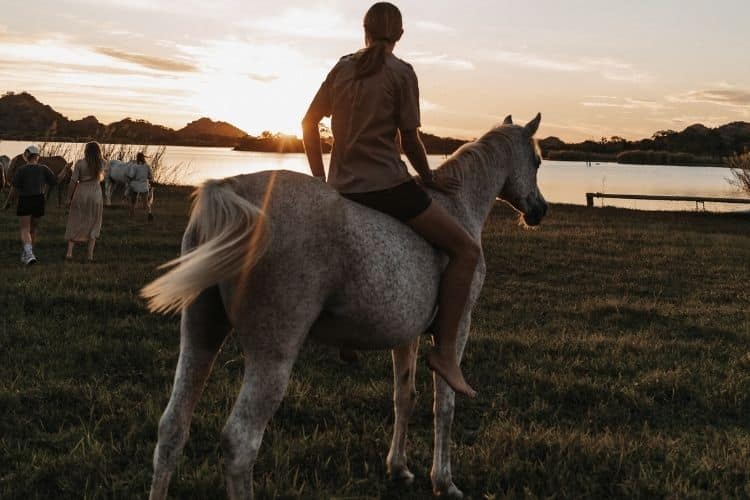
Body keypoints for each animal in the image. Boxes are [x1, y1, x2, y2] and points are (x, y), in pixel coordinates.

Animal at [142, 114, 548, 499]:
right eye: (538, 161)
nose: (540, 210)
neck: (458, 205)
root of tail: (234, 191)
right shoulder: (457, 327)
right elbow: (444, 403)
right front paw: (443, 481)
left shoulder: (407, 335)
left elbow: (404, 396)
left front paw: (398, 467)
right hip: (272, 353)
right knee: (240, 442)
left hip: (201, 335)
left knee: (172, 428)